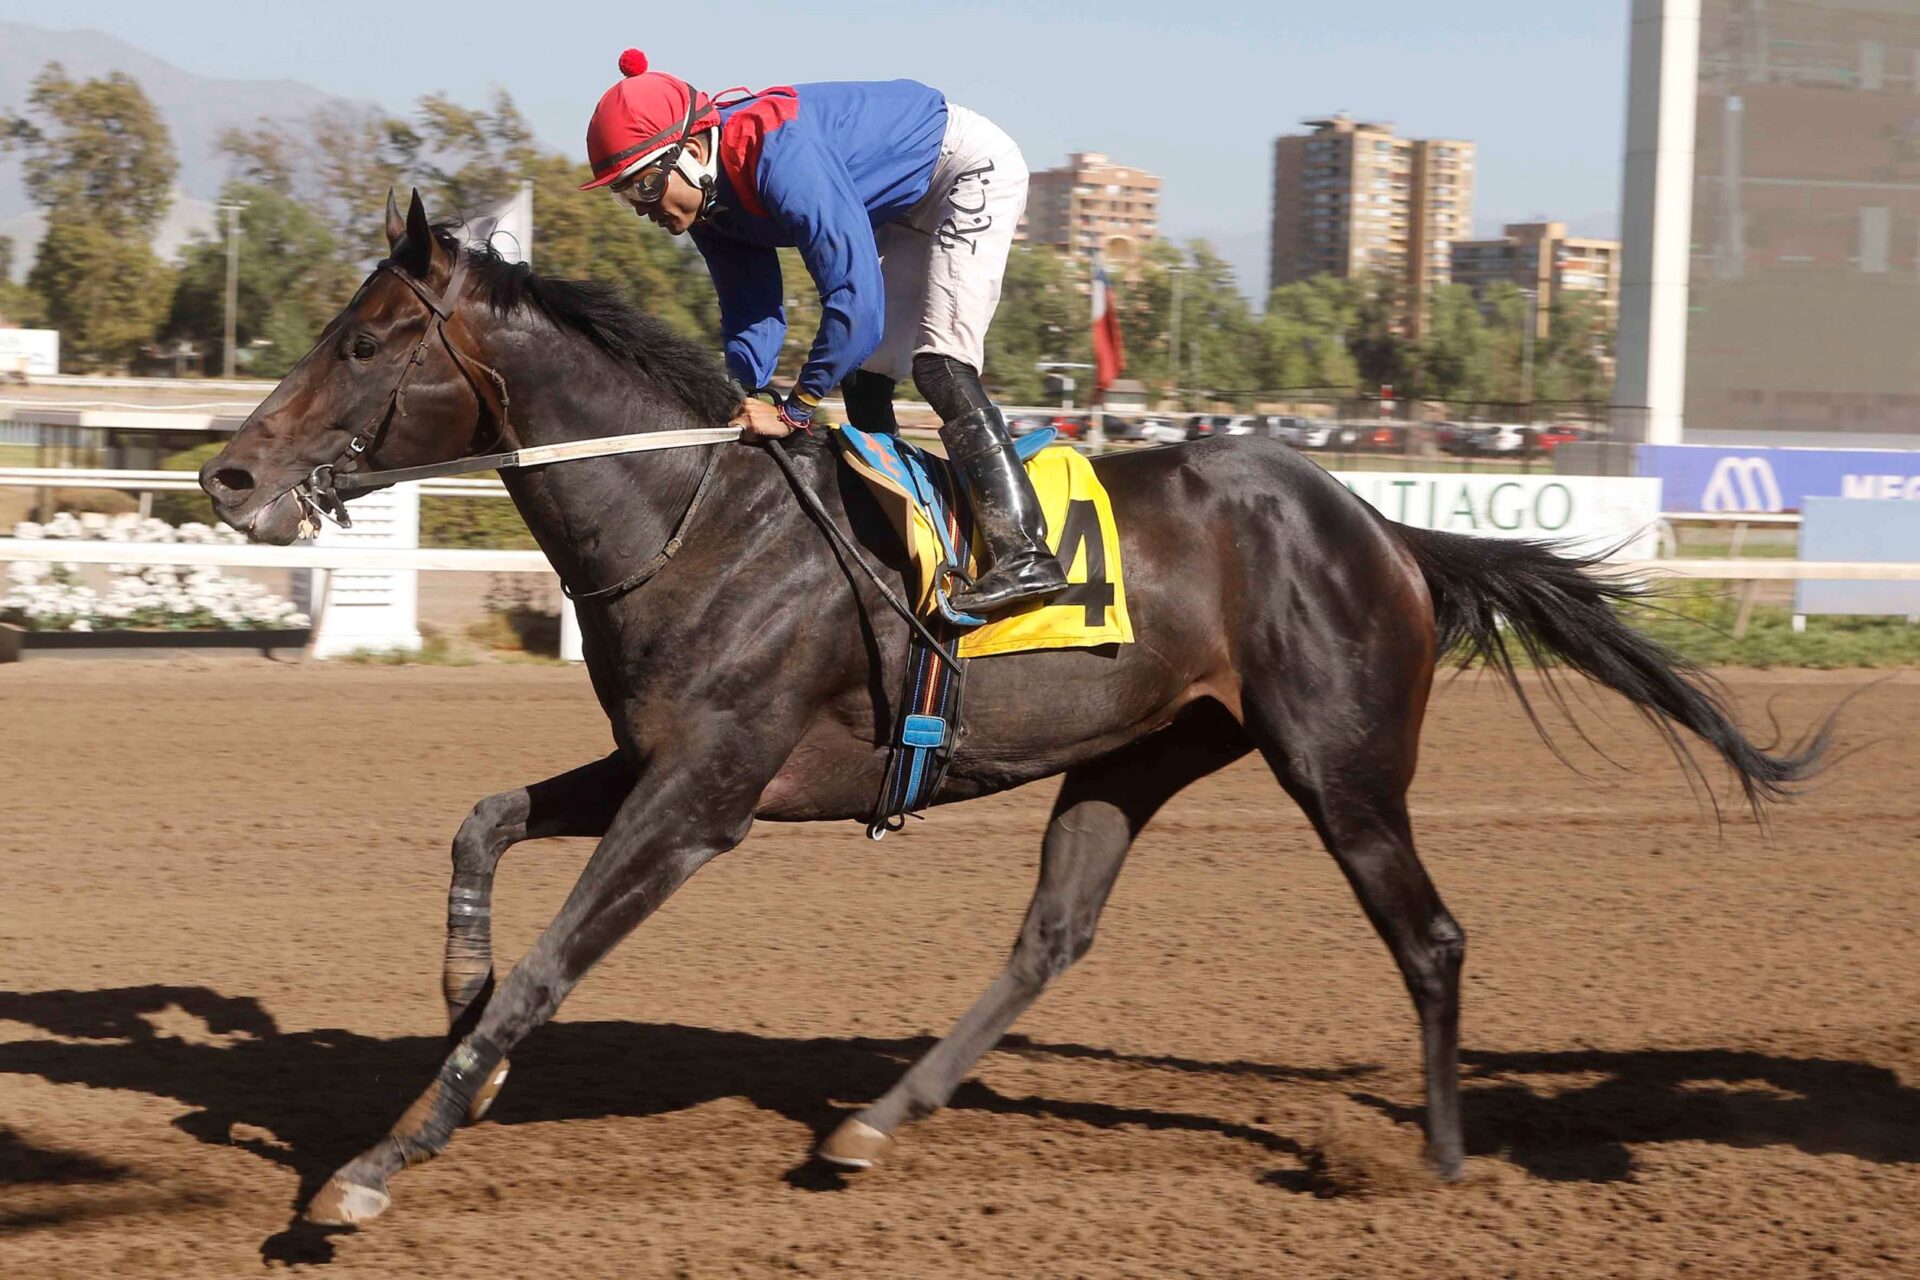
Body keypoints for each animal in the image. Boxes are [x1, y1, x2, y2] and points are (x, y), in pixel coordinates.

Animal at [199, 192, 1826, 1227]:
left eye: (364, 340)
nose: (227, 471)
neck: (698, 508)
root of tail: (1378, 523)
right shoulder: (657, 757)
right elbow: (481, 827)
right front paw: (457, 992)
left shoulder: (704, 797)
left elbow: (550, 967)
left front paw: (372, 1165)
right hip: (1139, 754)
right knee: (1052, 935)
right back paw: (871, 1120)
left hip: (1342, 763)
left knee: (1429, 936)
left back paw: (1434, 1160)